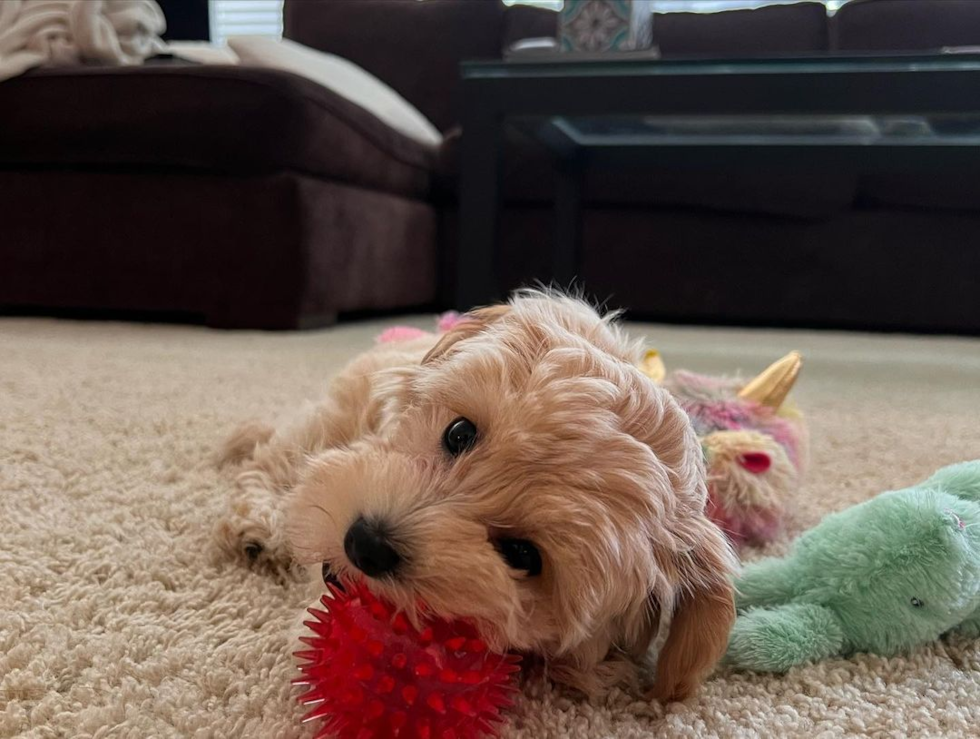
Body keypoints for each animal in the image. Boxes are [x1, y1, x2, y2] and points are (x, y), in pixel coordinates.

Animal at [214, 292, 736, 704]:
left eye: (523, 555)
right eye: (459, 432)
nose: (365, 544)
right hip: (335, 416)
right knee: (275, 456)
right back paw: (257, 524)